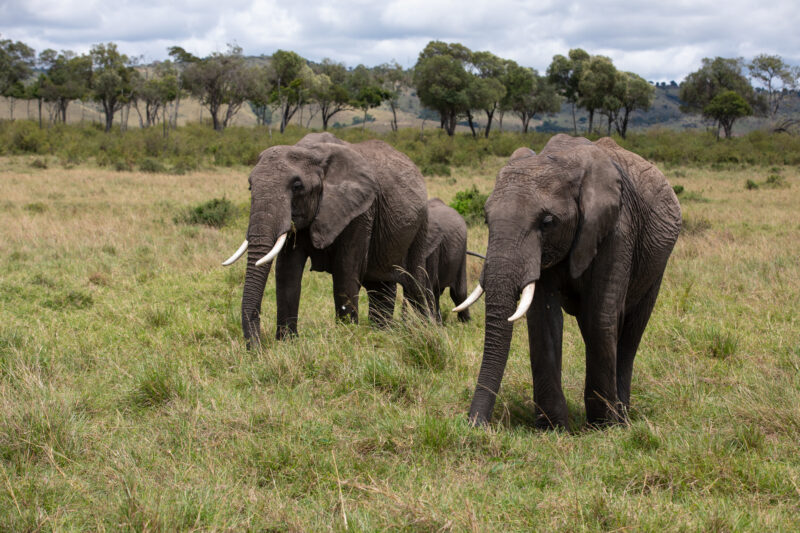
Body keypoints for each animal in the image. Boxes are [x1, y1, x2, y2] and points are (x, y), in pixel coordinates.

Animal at [222, 133, 429, 346]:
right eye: (250, 186)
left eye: (297, 186)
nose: (258, 348)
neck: (313, 153)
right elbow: (287, 272)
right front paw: (287, 343)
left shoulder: (360, 213)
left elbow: (345, 272)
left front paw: (347, 338)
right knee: (380, 287)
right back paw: (381, 333)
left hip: (421, 226)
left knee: (416, 286)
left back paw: (420, 329)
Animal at [454, 134, 681, 428]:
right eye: (485, 218)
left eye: (548, 221)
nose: (475, 424)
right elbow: (544, 319)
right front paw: (554, 427)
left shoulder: (618, 230)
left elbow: (600, 316)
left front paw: (602, 425)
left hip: (657, 263)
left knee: (630, 331)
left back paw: (622, 418)